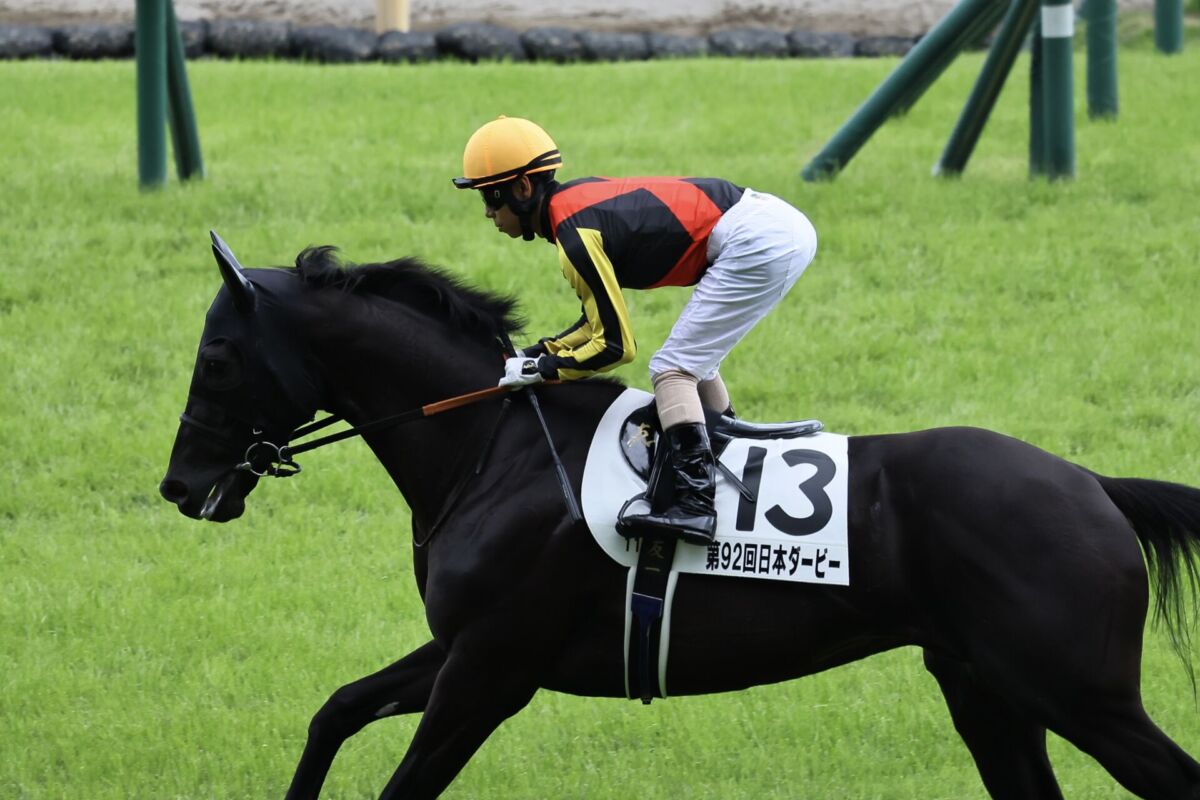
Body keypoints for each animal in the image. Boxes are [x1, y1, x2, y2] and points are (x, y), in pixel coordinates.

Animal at [160, 234, 1200, 800]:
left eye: (216, 358)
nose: (178, 485)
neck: (490, 448)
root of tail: (1095, 485)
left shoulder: (491, 670)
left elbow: (404, 778)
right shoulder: (466, 650)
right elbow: (336, 712)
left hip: (1080, 694)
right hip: (988, 691)